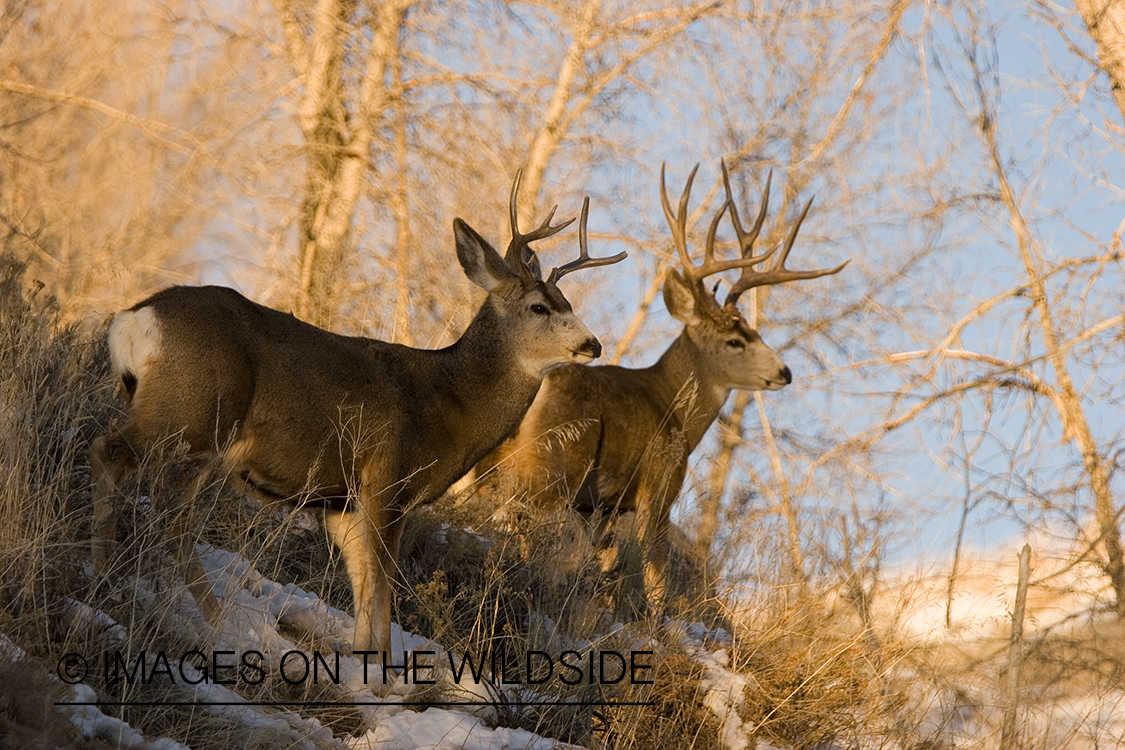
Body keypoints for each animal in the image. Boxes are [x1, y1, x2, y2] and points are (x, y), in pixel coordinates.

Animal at [90, 176, 625, 656]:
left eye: (567, 302)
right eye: (540, 307)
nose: (592, 344)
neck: (451, 401)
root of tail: (136, 318)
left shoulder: (341, 502)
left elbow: (365, 587)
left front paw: (364, 666)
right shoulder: (388, 480)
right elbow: (383, 587)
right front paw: (381, 680)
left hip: (194, 428)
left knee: (166, 509)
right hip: (194, 413)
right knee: (120, 462)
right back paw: (121, 581)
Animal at [479, 163, 846, 616]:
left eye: (756, 332)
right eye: (735, 341)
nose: (785, 372)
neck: (672, 406)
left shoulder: (600, 506)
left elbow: (608, 564)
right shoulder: (659, 485)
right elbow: (652, 579)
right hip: (551, 466)